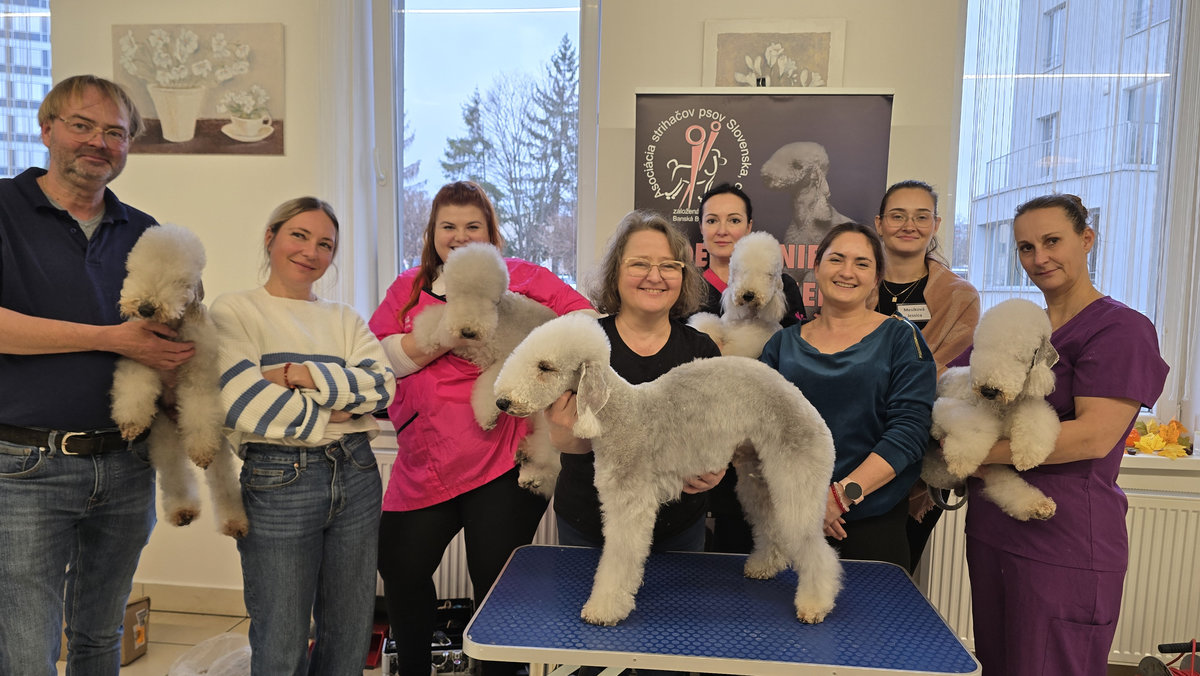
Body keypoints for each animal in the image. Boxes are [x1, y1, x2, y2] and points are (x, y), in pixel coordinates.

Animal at [110, 224, 248, 537]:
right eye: (135, 269)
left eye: (179, 280)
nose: (146, 308)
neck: (170, 329)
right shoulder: (140, 361)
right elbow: (134, 391)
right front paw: (131, 423)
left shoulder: (199, 376)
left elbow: (199, 407)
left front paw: (200, 450)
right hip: (162, 435)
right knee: (174, 473)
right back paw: (182, 510)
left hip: (217, 447)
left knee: (222, 481)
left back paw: (235, 522)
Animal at [409, 243, 560, 496]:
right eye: (458, 294)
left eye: (488, 298)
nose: (468, 331)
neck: (498, 319)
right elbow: (435, 320)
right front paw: (427, 336)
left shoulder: (505, 359)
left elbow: (489, 385)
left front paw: (486, 418)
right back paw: (527, 464)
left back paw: (534, 476)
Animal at [493, 313, 841, 626]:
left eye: (545, 367)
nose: (501, 402)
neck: (619, 415)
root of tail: (802, 401)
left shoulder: (630, 502)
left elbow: (620, 555)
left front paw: (604, 609)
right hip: (757, 476)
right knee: (770, 521)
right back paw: (765, 565)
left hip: (797, 474)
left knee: (813, 544)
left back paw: (816, 603)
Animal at [923, 298, 1061, 521]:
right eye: (982, 349)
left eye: (1019, 357)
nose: (988, 390)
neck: (1002, 406)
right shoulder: (946, 406)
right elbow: (973, 428)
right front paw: (960, 461)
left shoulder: (1030, 406)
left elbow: (1036, 420)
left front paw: (1028, 455)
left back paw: (1038, 506)